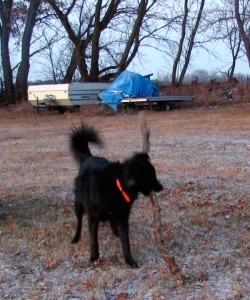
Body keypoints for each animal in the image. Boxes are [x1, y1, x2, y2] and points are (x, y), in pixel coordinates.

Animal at [70, 122, 162, 268]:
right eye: (151, 176)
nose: (161, 187)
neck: (118, 185)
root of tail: (89, 157)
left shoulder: (123, 217)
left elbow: (126, 242)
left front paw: (129, 260)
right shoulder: (93, 217)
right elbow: (94, 241)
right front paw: (94, 258)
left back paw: (115, 231)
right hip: (78, 204)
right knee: (79, 221)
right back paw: (76, 238)